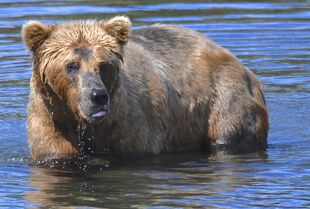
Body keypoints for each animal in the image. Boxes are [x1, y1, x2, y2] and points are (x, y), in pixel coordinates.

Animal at [22, 16, 268, 161]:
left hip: (225, 97)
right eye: (71, 65)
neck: (80, 120)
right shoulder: (50, 116)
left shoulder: (128, 124)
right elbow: (55, 150)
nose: (97, 96)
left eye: (103, 65)